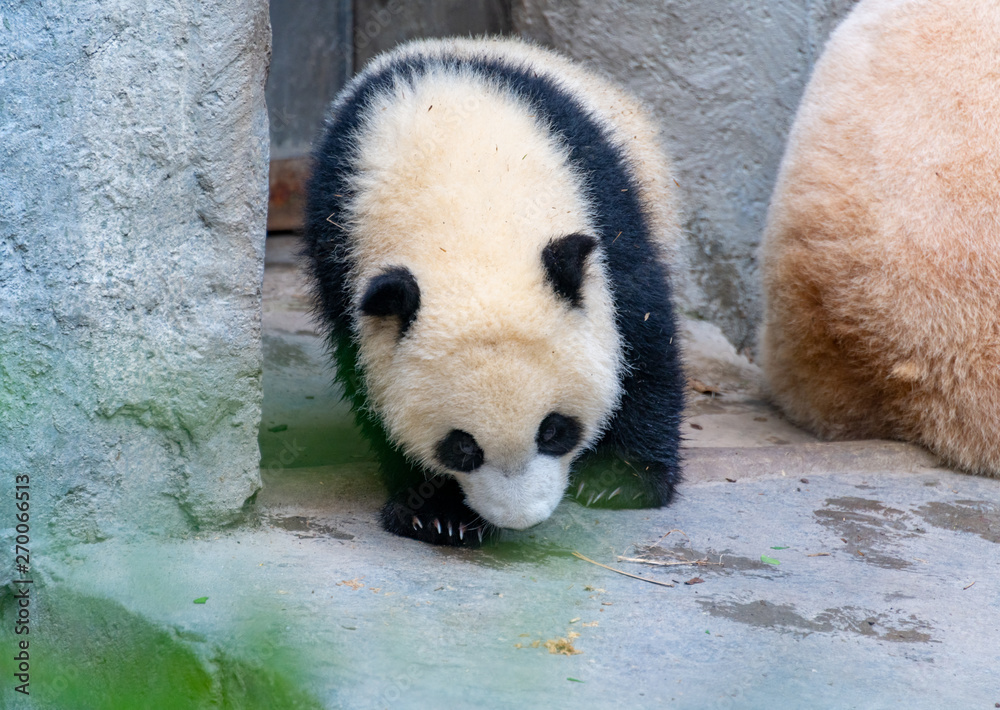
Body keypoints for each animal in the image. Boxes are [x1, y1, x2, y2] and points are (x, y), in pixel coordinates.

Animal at [303, 37, 685, 546]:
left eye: (554, 431)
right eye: (462, 447)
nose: (522, 517)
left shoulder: (604, 205)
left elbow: (644, 332)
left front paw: (620, 478)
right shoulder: (339, 240)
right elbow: (367, 377)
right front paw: (436, 512)